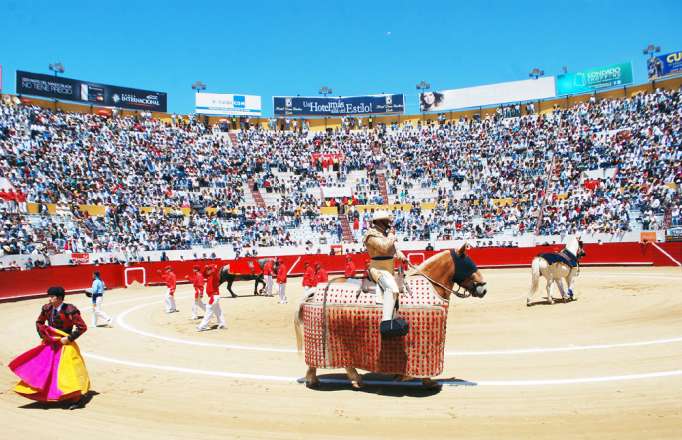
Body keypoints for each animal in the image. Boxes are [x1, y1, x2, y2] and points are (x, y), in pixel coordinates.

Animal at [294, 246, 486, 390]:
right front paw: (423, 380)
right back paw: (314, 380)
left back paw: (355, 380)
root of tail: (316, 290)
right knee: (317, 359)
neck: (432, 285)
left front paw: (425, 381)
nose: (483, 288)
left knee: (345, 361)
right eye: (468, 264)